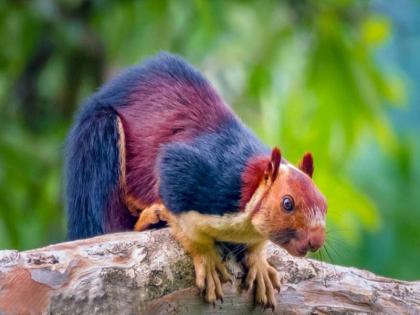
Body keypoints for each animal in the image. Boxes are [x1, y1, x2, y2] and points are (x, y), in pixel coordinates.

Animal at [65, 51, 328, 308]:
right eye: (287, 203)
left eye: (325, 204)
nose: (316, 240)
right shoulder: (194, 173)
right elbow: (184, 219)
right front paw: (205, 257)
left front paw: (259, 261)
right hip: (99, 142)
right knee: (107, 224)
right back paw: (149, 219)